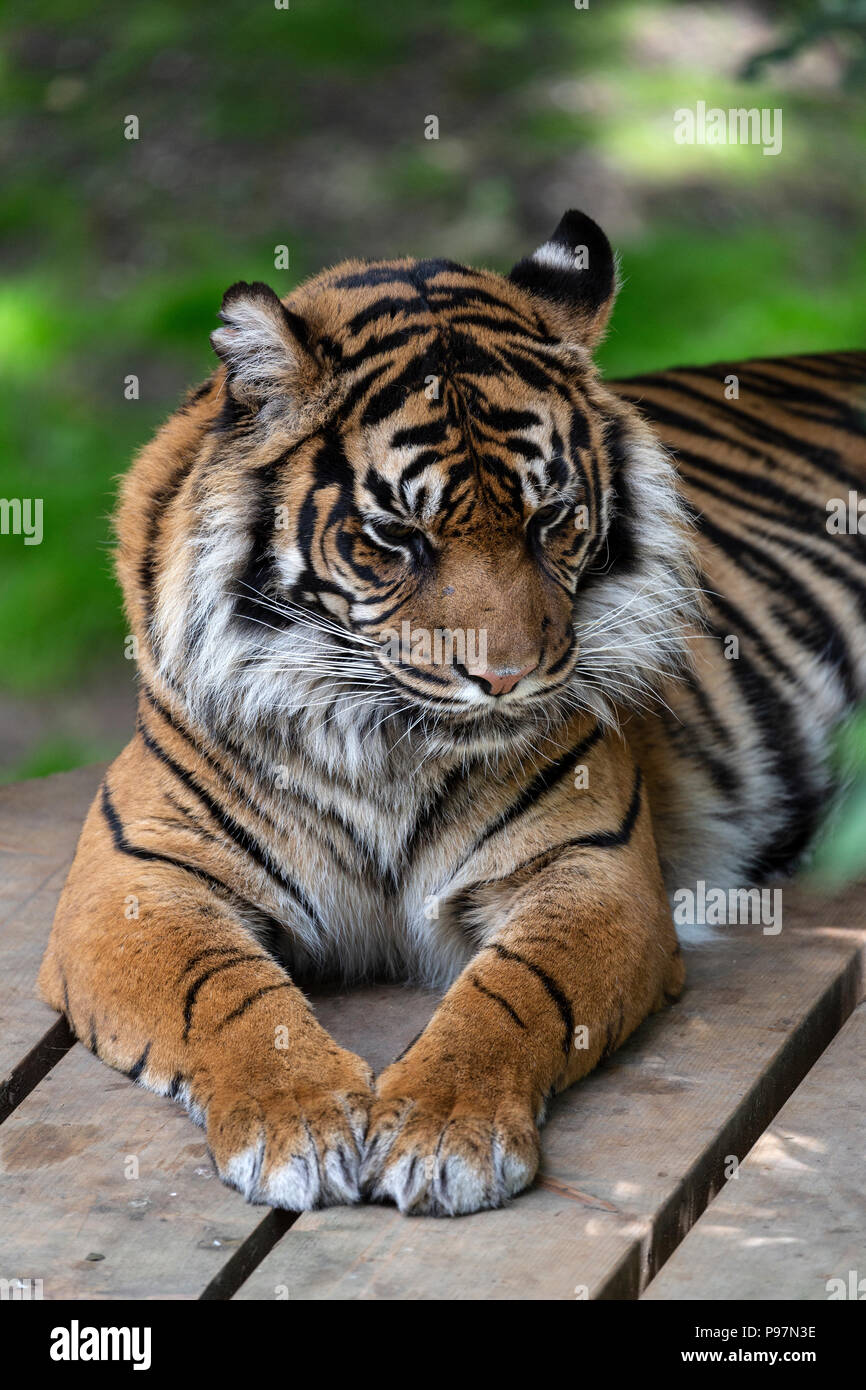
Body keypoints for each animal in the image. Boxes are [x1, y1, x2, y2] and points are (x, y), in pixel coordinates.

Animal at [37, 208, 861, 1217]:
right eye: (397, 537)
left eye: (552, 519)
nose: (507, 679)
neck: (383, 744)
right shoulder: (136, 877)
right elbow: (224, 992)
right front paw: (296, 1121)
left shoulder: (592, 867)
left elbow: (515, 990)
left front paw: (441, 1131)